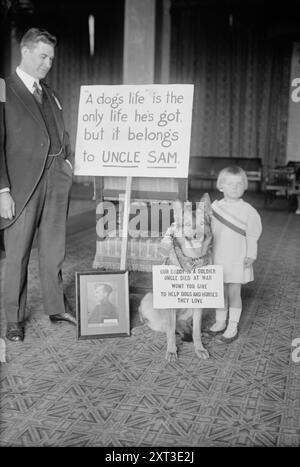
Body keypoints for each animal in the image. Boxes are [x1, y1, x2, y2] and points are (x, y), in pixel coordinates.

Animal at [139, 194, 213, 362]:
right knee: (160, 325)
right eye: (187, 224)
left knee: (188, 325)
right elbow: (171, 332)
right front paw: (172, 351)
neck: (192, 261)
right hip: (149, 298)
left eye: (202, 223)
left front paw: (199, 347)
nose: (197, 235)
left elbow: (196, 330)